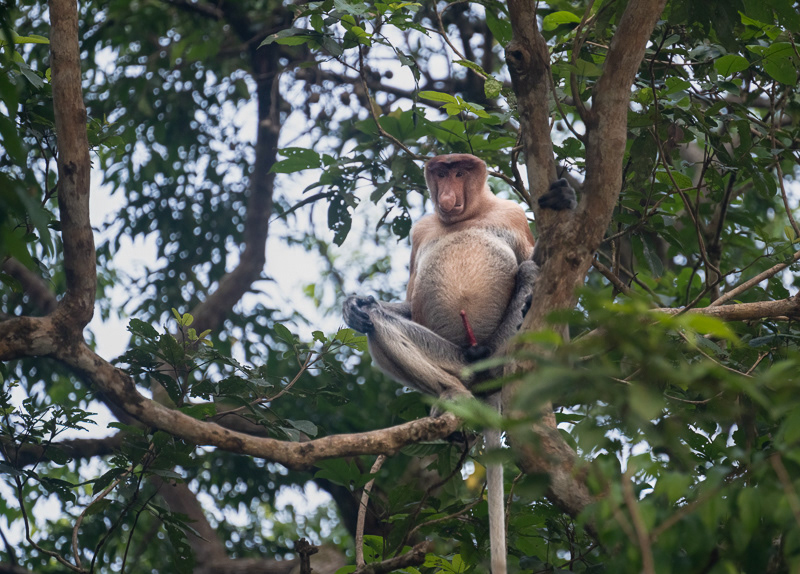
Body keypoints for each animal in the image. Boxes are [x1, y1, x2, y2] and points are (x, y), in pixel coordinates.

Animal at [343, 153, 576, 573]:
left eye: (459, 171)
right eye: (440, 172)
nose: (448, 194)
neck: (470, 214)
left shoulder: (512, 214)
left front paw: (566, 198)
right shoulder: (421, 230)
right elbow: (407, 304)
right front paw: (354, 305)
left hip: (504, 344)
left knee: (530, 273)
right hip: (451, 356)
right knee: (377, 325)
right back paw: (452, 393)